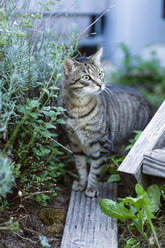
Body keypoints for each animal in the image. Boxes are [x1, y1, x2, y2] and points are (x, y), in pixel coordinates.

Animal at [58, 48, 153, 198]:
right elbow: (80, 166)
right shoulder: (74, 142)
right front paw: (82, 183)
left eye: (100, 74)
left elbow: (95, 170)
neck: (78, 108)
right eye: (86, 78)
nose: (100, 84)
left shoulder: (102, 144)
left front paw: (91, 188)